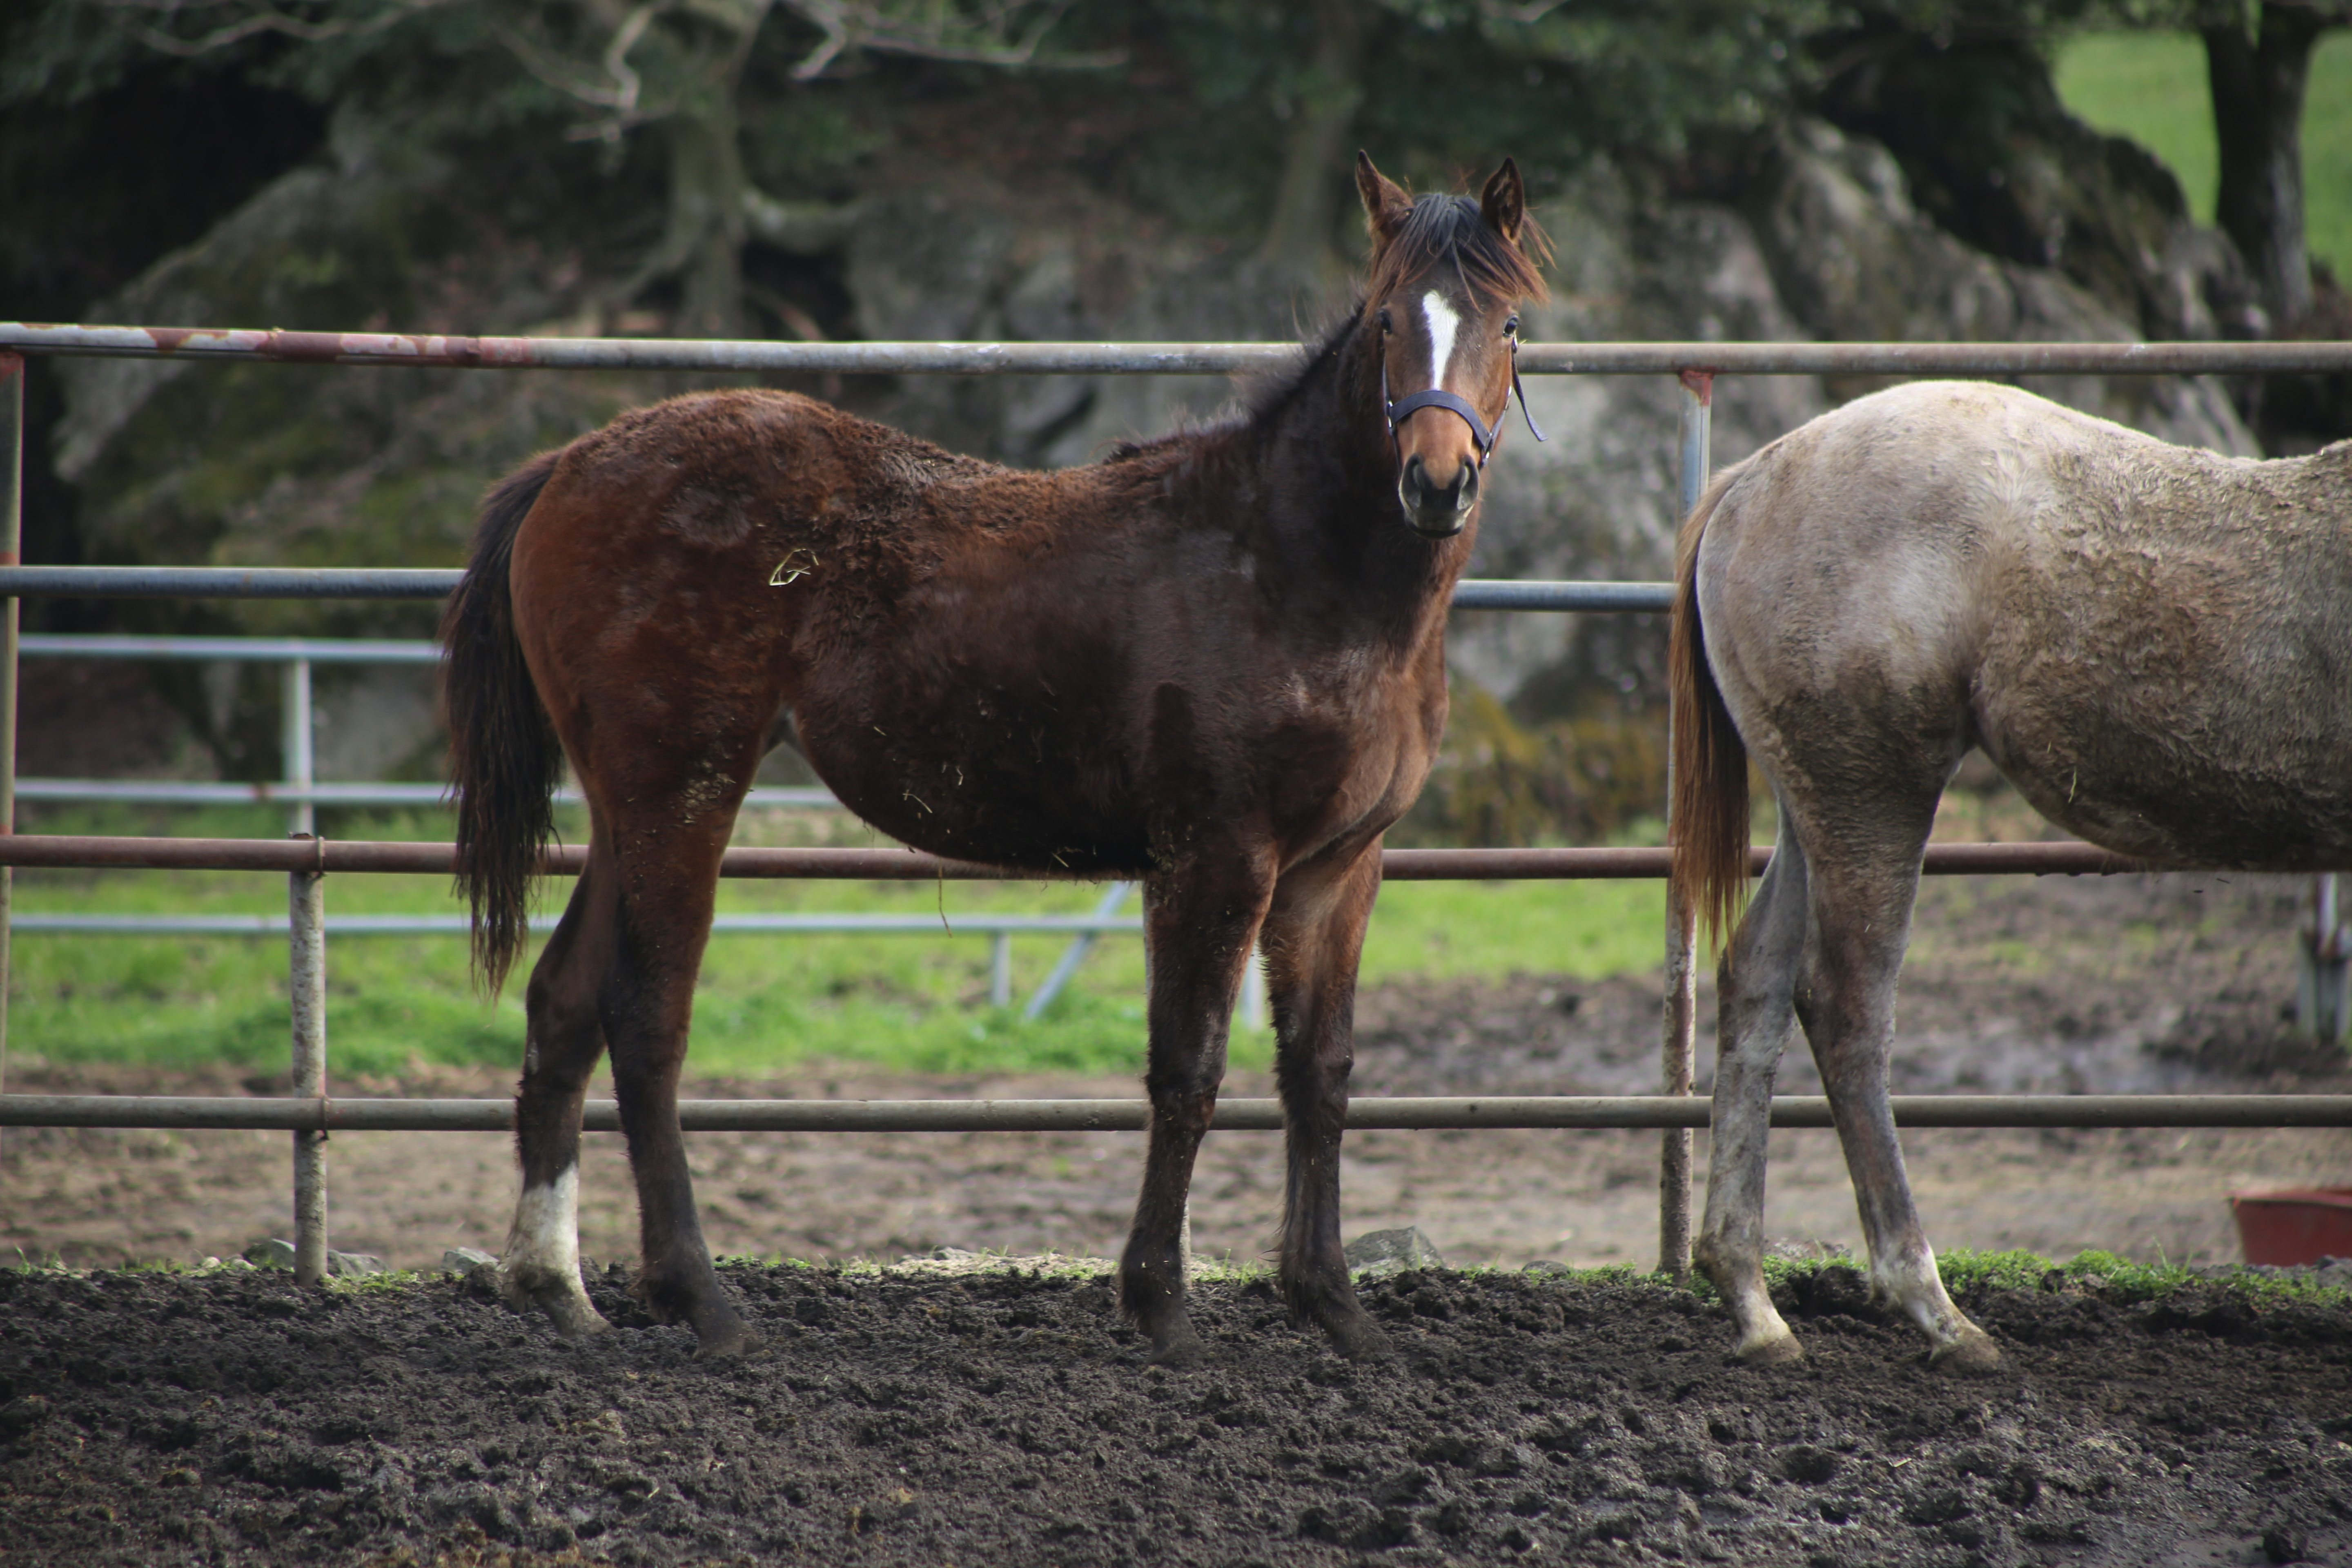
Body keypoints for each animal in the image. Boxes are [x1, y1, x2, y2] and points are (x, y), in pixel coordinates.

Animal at [442, 156, 1552, 1363]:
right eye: (1390, 319)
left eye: (1507, 324)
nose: (1436, 483)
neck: (1288, 569)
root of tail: (571, 464)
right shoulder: (1216, 857)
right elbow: (1189, 1071)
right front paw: (1160, 1305)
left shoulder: (1334, 871)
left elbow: (1320, 1075)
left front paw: (1332, 1304)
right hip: (680, 796)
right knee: (648, 1023)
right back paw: (699, 1298)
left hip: (625, 805)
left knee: (564, 1002)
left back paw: (554, 1285)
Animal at [1675, 381, 2352, 1373]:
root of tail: (1750, 481)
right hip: (1872, 795)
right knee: (1845, 1008)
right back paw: (1931, 1307)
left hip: (1814, 806)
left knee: (1755, 979)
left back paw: (1754, 1303)